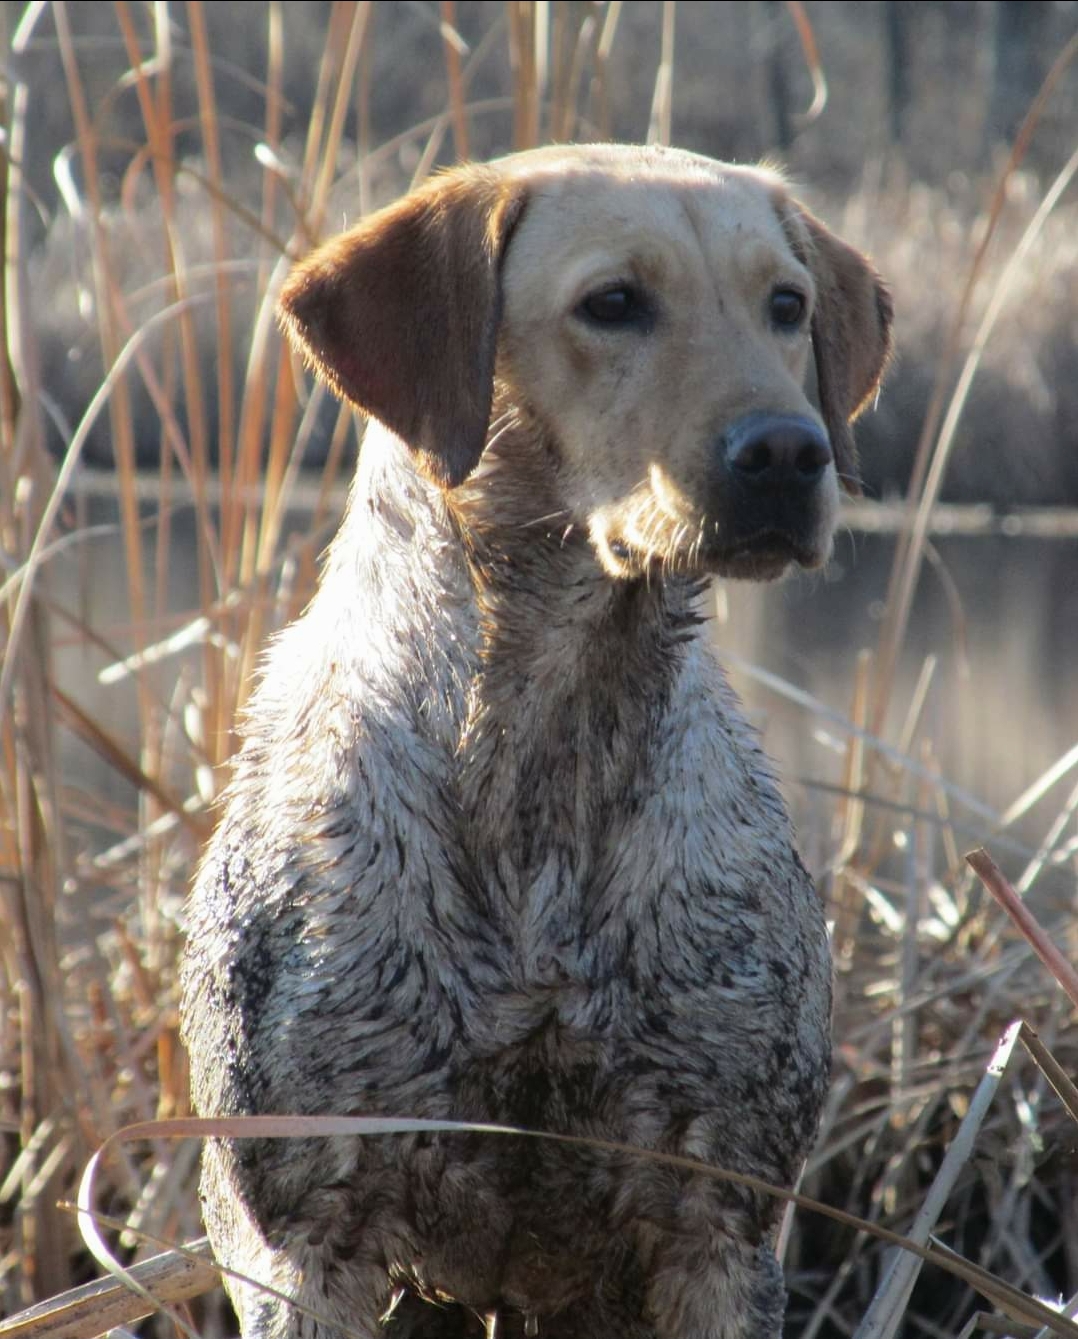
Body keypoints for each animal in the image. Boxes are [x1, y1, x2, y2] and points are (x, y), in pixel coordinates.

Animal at [178, 141, 889, 1333]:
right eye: (613, 302)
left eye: (786, 306)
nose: (791, 453)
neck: (549, 742)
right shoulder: (303, 1237)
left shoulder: (722, 1220)